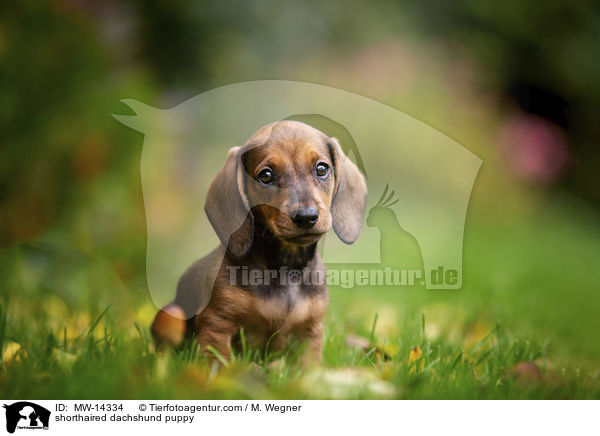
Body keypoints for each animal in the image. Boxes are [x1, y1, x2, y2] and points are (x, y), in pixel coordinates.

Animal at [151, 119, 366, 362]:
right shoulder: (216, 325)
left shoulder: (310, 332)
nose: (306, 217)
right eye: (266, 175)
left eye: (322, 169)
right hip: (171, 314)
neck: (285, 268)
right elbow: (218, 362)